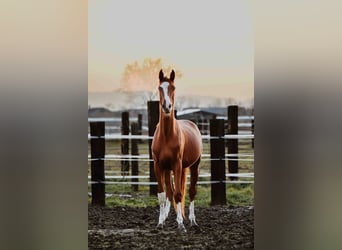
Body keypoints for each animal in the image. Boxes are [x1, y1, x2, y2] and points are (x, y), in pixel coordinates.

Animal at [151, 69, 202, 231]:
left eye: (173, 87)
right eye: (160, 88)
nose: (167, 106)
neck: (167, 136)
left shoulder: (177, 165)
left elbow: (179, 194)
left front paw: (180, 224)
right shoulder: (158, 165)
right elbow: (162, 194)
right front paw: (160, 222)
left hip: (194, 166)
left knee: (191, 192)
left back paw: (192, 221)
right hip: (168, 169)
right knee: (169, 192)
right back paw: (167, 217)